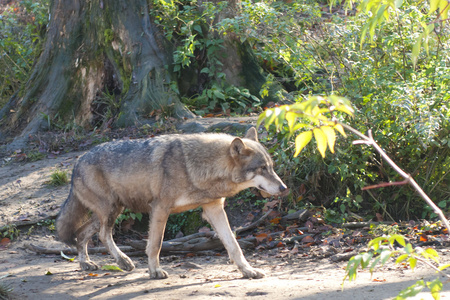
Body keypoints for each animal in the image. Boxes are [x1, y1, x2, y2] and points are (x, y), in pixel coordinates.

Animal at [56, 127, 286, 278]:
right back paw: (123, 261)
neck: (198, 167)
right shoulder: (160, 208)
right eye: (262, 168)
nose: (284, 188)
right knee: (104, 235)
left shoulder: (214, 208)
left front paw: (248, 270)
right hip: (111, 211)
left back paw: (86, 264)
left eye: (272, 167)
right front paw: (155, 271)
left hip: (112, 211)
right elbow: (156, 244)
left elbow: (233, 244)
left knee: (81, 234)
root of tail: (77, 162)